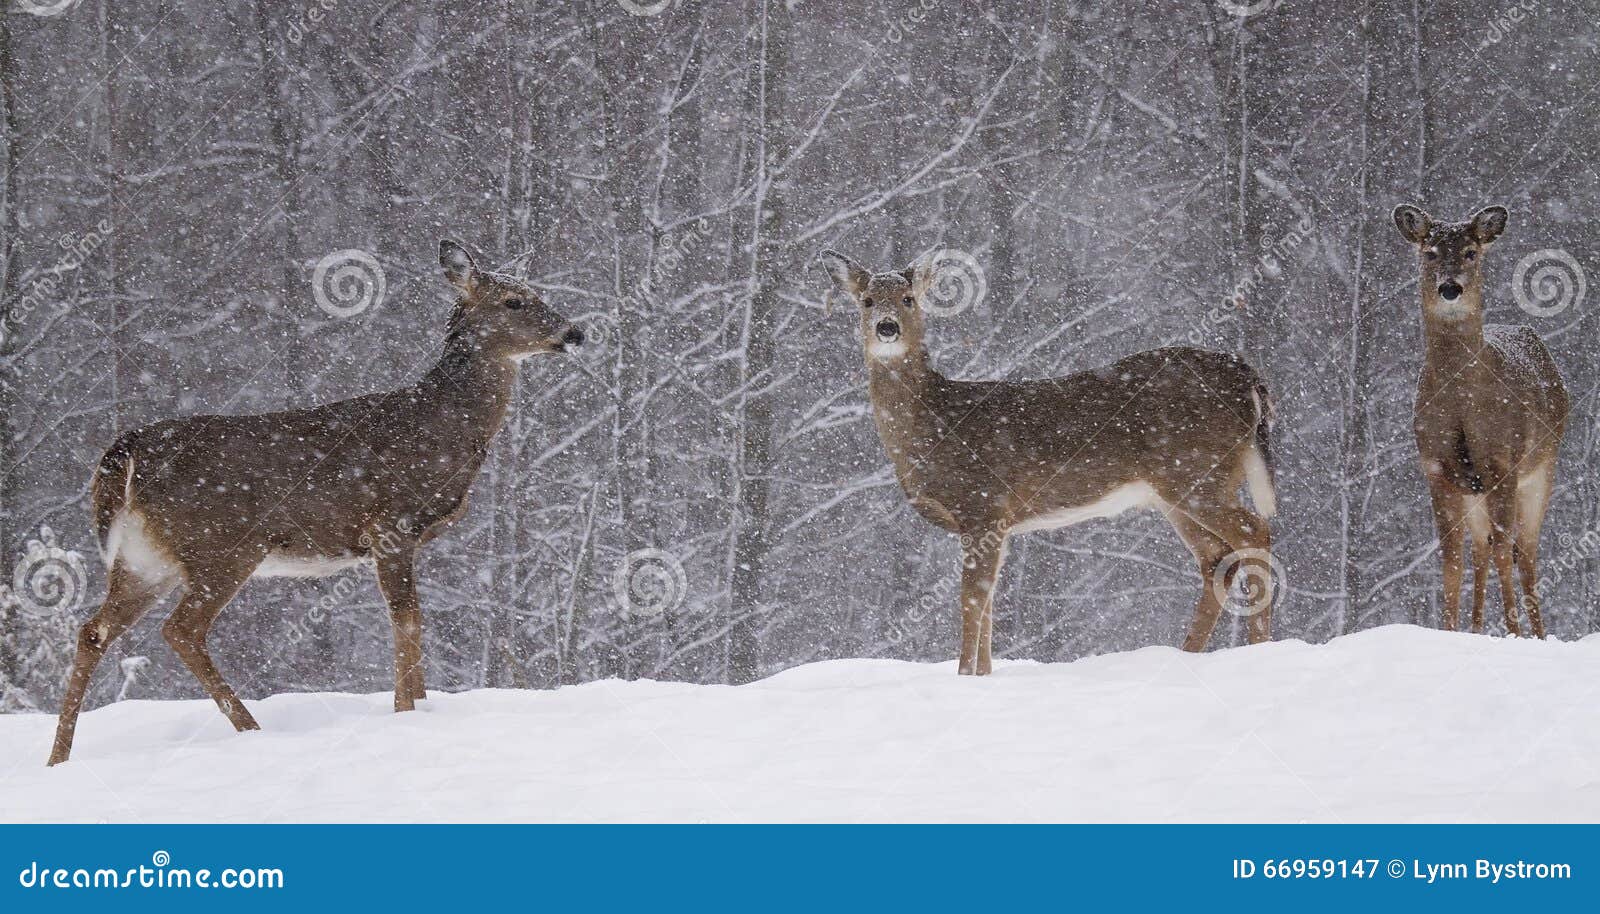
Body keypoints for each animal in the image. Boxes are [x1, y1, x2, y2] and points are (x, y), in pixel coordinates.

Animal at [48, 238, 588, 765]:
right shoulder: (390, 523)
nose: (576, 332)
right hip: (224, 545)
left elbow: (413, 621)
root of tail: (128, 449)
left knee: (93, 630)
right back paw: (251, 730)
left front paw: (417, 709)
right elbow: (406, 619)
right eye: (514, 301)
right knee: (181, 629)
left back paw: (59, 758)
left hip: (145, 557)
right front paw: (406, 713)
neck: (442, 429)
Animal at [819, 246, 1280, 675]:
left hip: (1197, 471)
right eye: (866, 300)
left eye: (909, 298)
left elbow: (972, 599)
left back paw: (1259, 651)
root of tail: (1248, 377)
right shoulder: (999, 522)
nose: (887, 327)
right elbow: (989, 602)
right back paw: (1188, 654)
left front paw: (964, 676)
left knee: (1254, 532)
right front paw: (983, 675)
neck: (933, 427)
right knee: (1215, 557)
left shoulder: (982, 504)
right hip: (1178, 490)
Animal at [1395, 204, 1568, 640]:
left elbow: (1506, 552)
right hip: (1474, 490)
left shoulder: (1503, 462)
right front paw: (1449, 631)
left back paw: (1538, 634)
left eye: (1471, 252)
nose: (1450, 288)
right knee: (1480, 549)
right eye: (1430, 252)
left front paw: (1514, 634)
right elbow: (1452, 559)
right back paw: (1475, 628)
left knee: (1525, 550)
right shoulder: (1437, 469)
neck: (1462, 405)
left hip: (1541, 469)